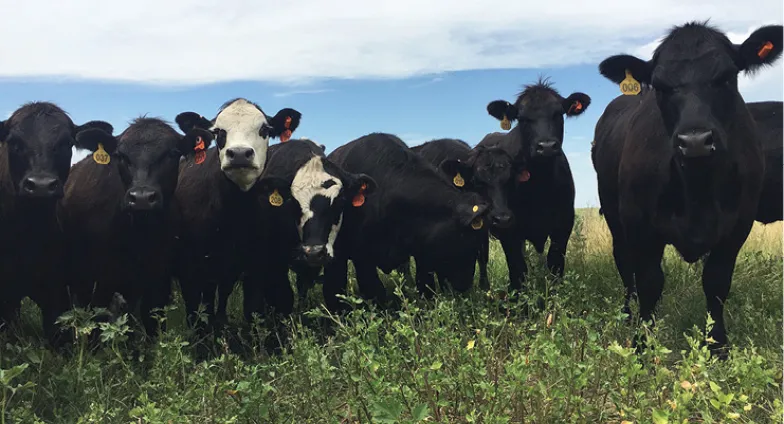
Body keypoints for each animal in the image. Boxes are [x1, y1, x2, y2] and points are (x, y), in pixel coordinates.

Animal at [57, 117, 213, 337]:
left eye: (173, 153)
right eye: (120, 155)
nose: (141, 198)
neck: (138, 235)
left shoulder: (158, 280)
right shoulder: (99, 279)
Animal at [172, 98, 302, 333]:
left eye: (264, 129)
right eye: (218, 132)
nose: (240, 154)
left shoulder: (256, 267)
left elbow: (253, 311)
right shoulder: (190, 270)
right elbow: (196, 315)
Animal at [318, 133, 490, 313]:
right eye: (466, 239)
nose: (465, 285)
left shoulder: (421, 253)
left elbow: (425, 286)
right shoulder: (363, 258)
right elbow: (375, 291)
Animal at [482, 78, 591, 295]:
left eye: (559, 113)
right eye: (522, 118)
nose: (547, 146)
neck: (541, 186)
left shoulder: (564, 223)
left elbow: (555, 263)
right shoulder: (508, 228)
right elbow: (517, 269)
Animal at [591, 21, 782, 356]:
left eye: (726, 76)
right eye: (660, 86)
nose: (694, 141)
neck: (697, 190)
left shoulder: (738, 225)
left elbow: (716, 282)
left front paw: (717, 345)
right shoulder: (639, 225)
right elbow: (649, 281)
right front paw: (643, 344)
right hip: (615, 215)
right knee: (625, 264)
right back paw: (627, 312)